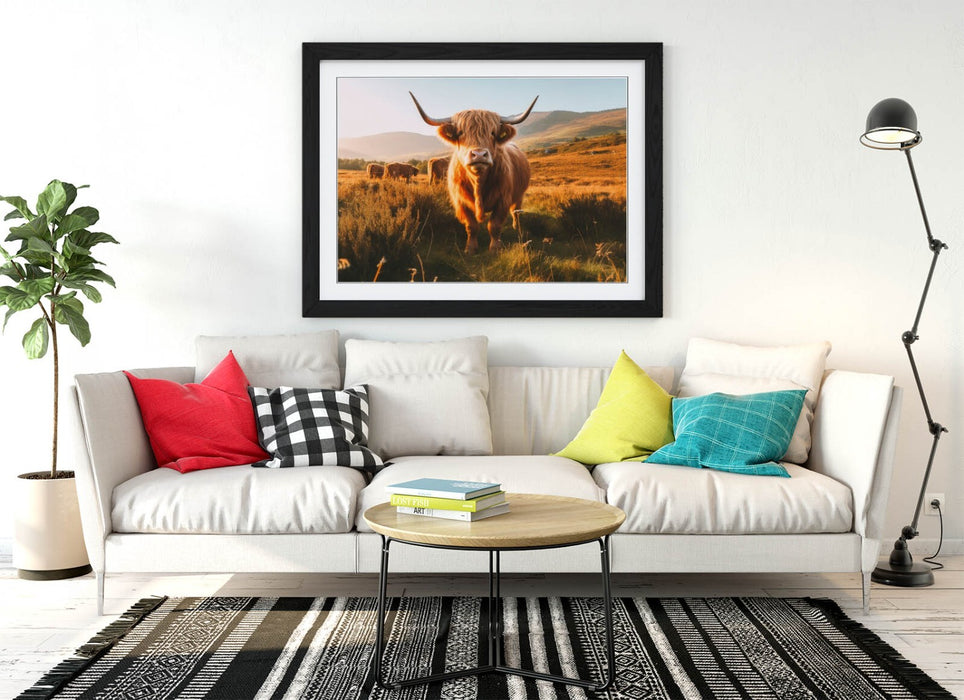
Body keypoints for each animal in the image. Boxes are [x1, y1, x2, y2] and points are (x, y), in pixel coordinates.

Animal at [410, 92, 538, 254]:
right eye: (460, 133)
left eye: (492, 132)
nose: (479, 155)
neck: (478, 182)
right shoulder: (460, 201)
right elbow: (471, 226)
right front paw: (470, 248)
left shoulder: (503, 200)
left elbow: (494, 225)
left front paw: (495, 248)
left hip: (519, 193)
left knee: (516, 211)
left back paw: (517, 227)